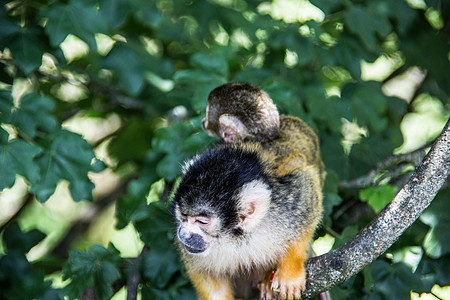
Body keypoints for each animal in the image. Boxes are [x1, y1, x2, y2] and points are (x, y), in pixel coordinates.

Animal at [172, 82, 324, 300]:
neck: (234, 237)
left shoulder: (283, 205)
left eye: (201, 222)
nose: (183, 234)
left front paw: (291, 270)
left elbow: (306, 191)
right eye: (183, 217)